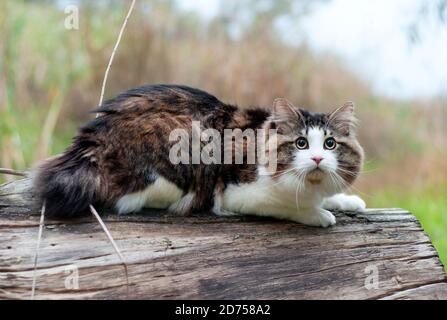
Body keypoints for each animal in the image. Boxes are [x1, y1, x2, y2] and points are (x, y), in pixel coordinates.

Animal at [33, 84, 366, 226]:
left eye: (330, 144)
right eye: (300, 143)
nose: (317, 159)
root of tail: (92, 142)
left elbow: (328, 196)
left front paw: (346, 201)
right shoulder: (239, 194)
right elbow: (287, 206)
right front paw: (319, 215)